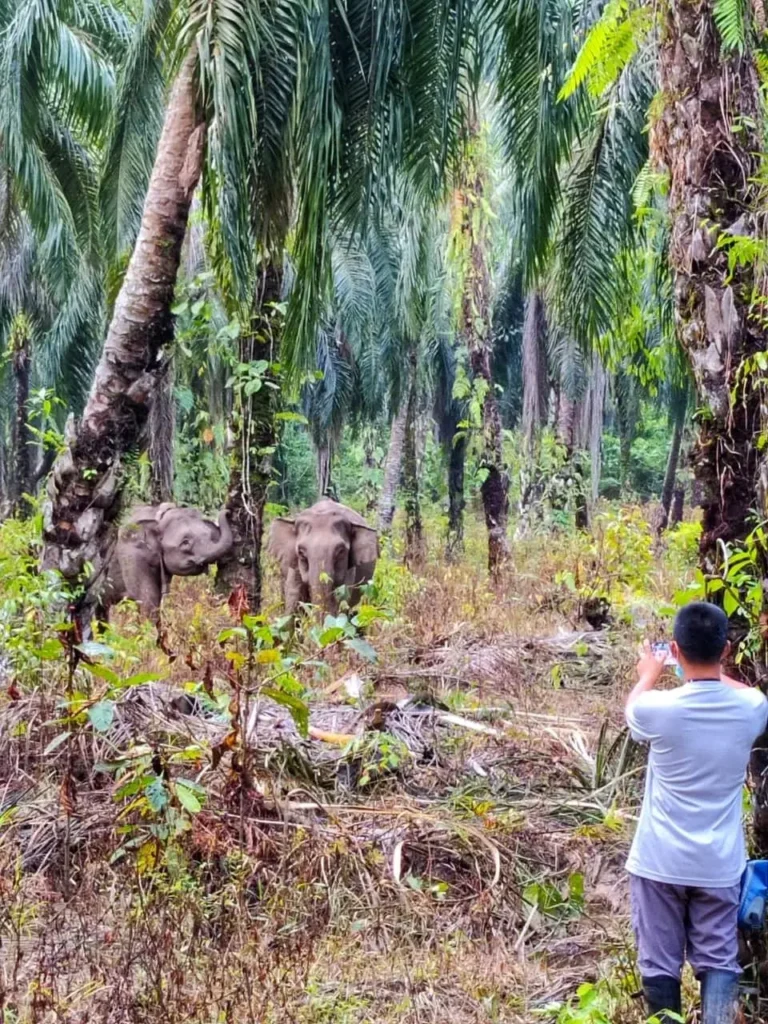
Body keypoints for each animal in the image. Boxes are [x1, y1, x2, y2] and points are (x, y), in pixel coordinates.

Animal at [102, 501, 234, 614]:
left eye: (209, 535)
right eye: (185, 542)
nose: (227, 511)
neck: (156, 517)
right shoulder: (131, 554)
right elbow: (148, 599)